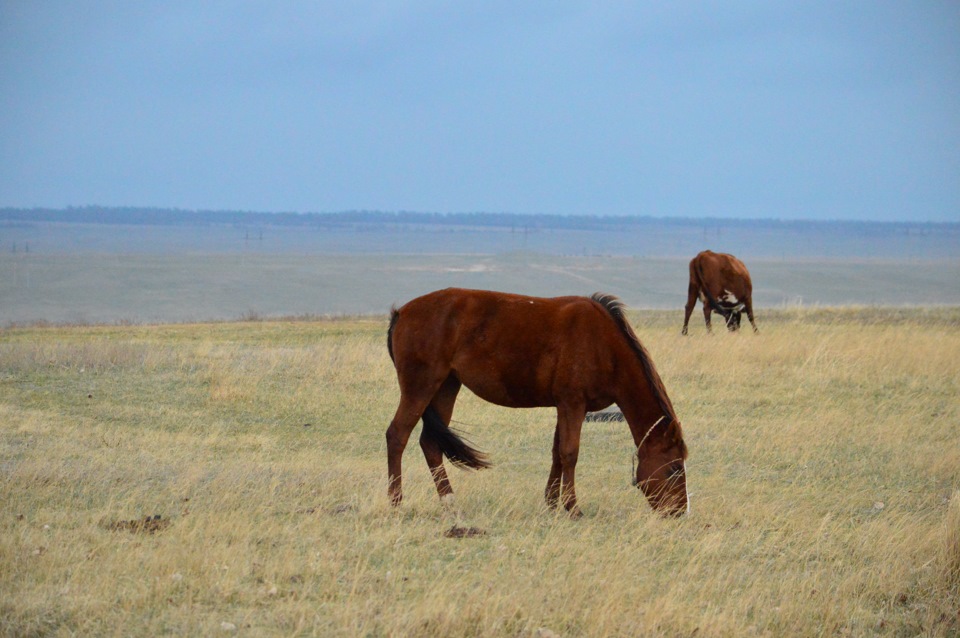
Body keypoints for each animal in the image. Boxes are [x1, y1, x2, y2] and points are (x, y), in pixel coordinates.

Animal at [385, 288, 689, 517]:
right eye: (674, 469)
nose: (679, 512)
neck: (603, 345)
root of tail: (402, 313)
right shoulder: (573, 404)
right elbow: (570, 453)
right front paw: (572, 507)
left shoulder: (564, 406)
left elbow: (557, 452)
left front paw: (552, 502)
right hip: (420, 387)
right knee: (397, 436)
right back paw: (396, 502)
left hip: (446, 387)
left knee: (430, 443)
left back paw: (449, 502)